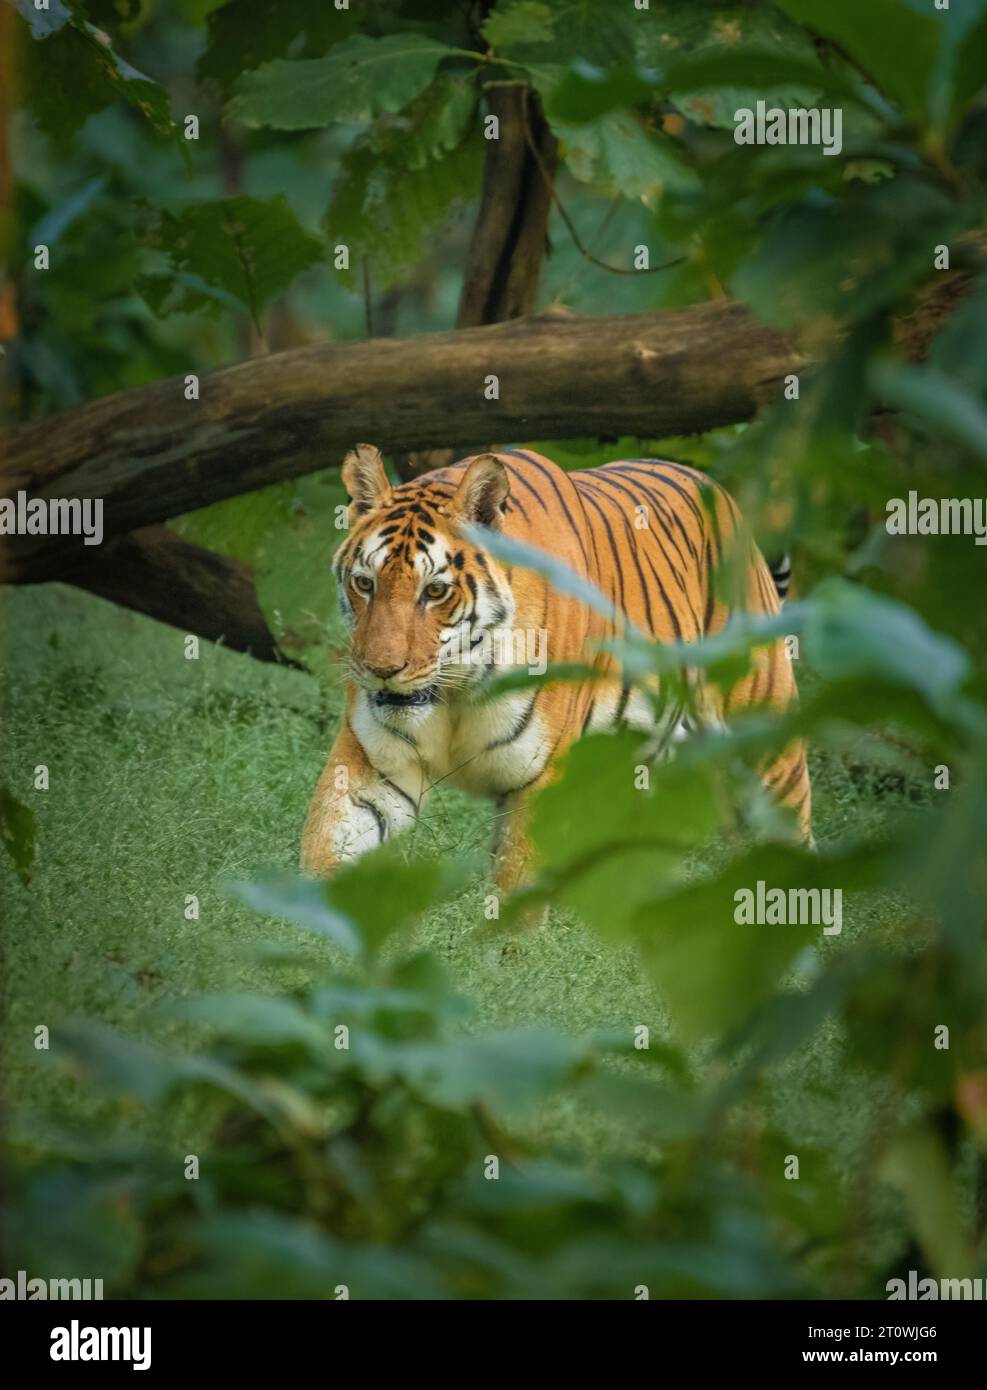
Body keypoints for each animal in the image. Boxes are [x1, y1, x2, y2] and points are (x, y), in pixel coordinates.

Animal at [301, 450, 811, 895]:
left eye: (436, 591)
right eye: (365, 583)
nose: (381, 670)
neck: (458, 688)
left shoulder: (541, 776)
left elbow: (515, 893)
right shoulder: (372, 767)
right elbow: (326, 844)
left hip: (763, 734)